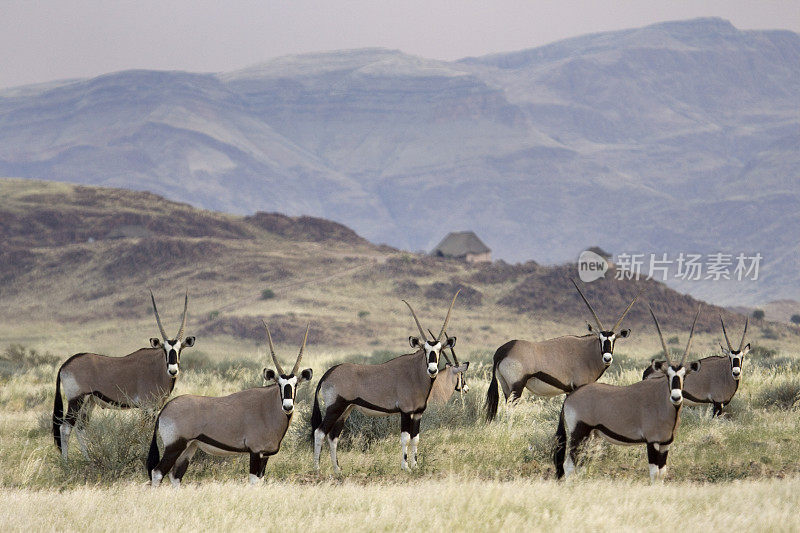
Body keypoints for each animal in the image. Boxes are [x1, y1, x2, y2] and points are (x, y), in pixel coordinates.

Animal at [52, 288, 195, 460]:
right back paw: (66, 463)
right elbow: (145, 432)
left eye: (180, 349)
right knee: (65, 428)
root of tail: (65, 365)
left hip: (89, 401)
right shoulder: (147, 408)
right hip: (76, 400)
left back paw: (88, 459)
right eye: (164, 350)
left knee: (81, 427)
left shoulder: (155, 408)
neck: (157, 368)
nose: (173, 370)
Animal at [150, 320, 312, 486]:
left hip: (189, 447)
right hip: (174, 446)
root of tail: (166, 409)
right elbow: (253, 481)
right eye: (279, 384)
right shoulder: (255, 452)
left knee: (175, 476)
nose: (287, 406)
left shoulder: (265, 455)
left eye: (296, 385)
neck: (268, 407)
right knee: (157, 472)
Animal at [314, 294, 462, 472]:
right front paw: (405, 467)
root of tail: (328, 373)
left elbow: (416, 439)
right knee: (319, 432)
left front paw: (415, 466)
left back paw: (337, 469)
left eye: (439, 350)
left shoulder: (418, 413)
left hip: (345, 410)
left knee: (333, 436)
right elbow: (405, 438)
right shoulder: (406, 411)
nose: (432, 370)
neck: (415, 373)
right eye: (425, 350)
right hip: (335, 407)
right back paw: (317, 468)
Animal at [484, 278, 640, 420]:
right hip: (516, 387)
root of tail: (502, 351)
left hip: (506, 387)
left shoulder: (569, 390)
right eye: (600, 339)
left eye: (614, 340)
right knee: (510, 409)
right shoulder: (579, 386)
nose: (607, 358)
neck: (587, 353)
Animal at [556, 304, 700, 482]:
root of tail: (570, 397)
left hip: (591, 435)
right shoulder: (652, 442)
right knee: (569, 465)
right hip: (578, 432)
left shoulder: (665, 444)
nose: (676, 397)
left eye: (684, 376)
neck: (664, 403)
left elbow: (662, 474)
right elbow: (654, 474)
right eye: (668, 376)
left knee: (581, 465)